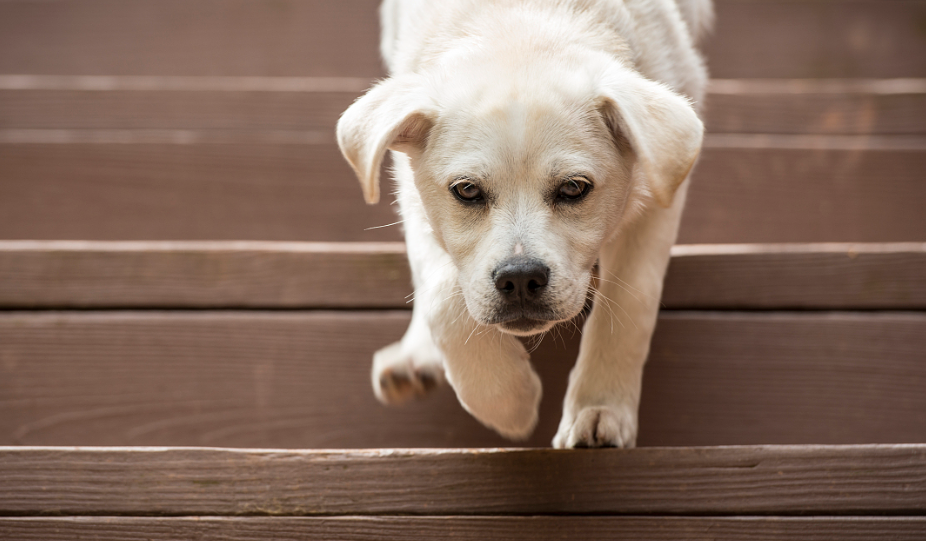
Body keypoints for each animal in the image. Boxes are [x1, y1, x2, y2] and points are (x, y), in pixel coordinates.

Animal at [338, 0, 716, 448]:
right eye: (467, 190)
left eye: (573, 188)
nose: (520, 279)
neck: (520, 21)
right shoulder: (413, 192)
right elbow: (442, 295)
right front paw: (508, 403)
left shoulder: (660, 183)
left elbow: (630, 301)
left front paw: (600, 409)